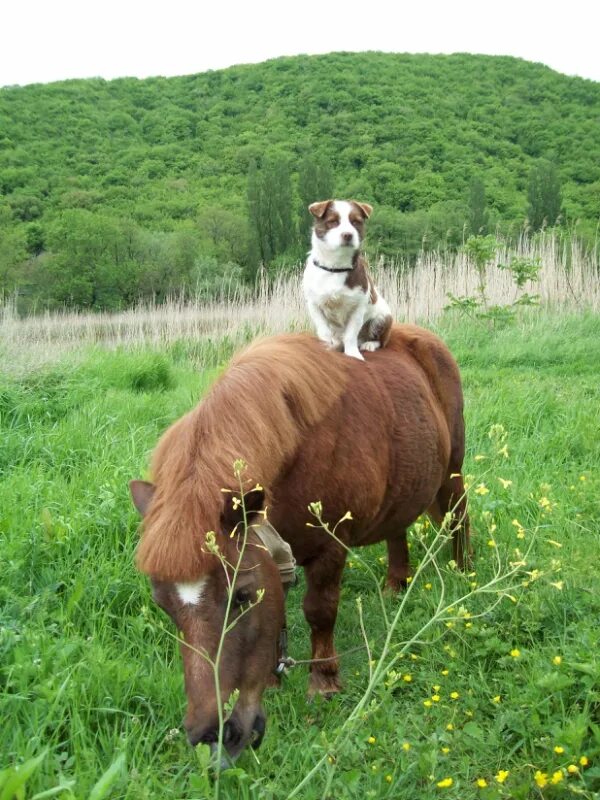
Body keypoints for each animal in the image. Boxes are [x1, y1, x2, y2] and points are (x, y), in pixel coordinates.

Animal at [130, 324, 468, 764]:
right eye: (163, 605)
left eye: (242, 595)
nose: (214, 734)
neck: (297, 451)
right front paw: (275, 680)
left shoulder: (330, 548)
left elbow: (319, 611)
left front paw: (323, 682)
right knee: (398, 529)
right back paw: (396, 585)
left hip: (454, 470)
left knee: (460, 517)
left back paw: (465, 572)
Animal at [304, 198, 394, 360]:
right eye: (333, 222)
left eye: (356, 222)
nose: (348, 234)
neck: (335, 267)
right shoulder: (314, 304)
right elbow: (323, 330)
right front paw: (326, 346)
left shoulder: (358, 307)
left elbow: (351, 333)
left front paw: (353, 354)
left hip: (384, 317)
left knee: (380, 340)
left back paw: (369, 344)